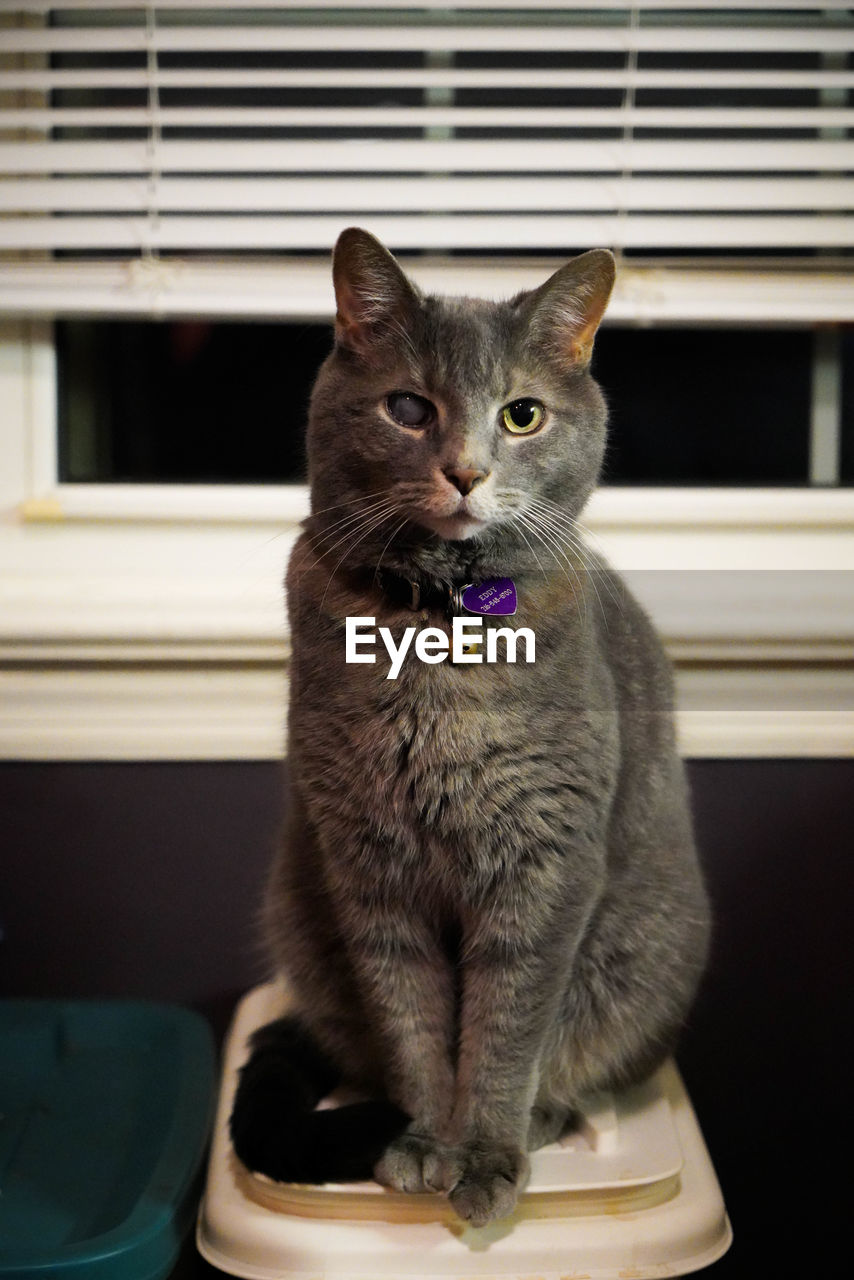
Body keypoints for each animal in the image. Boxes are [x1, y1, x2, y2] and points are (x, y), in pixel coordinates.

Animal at [230, 225, 711, 1223]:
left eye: (521, 415)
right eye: (409, 408)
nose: (465, 470)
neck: (437, 637)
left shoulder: (543, 864)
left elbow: (504, 1031)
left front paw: (484, 1155)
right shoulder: (370, 868)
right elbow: (413, 1025)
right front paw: (423, 1141)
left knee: (569, 1067)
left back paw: (541, 1123)